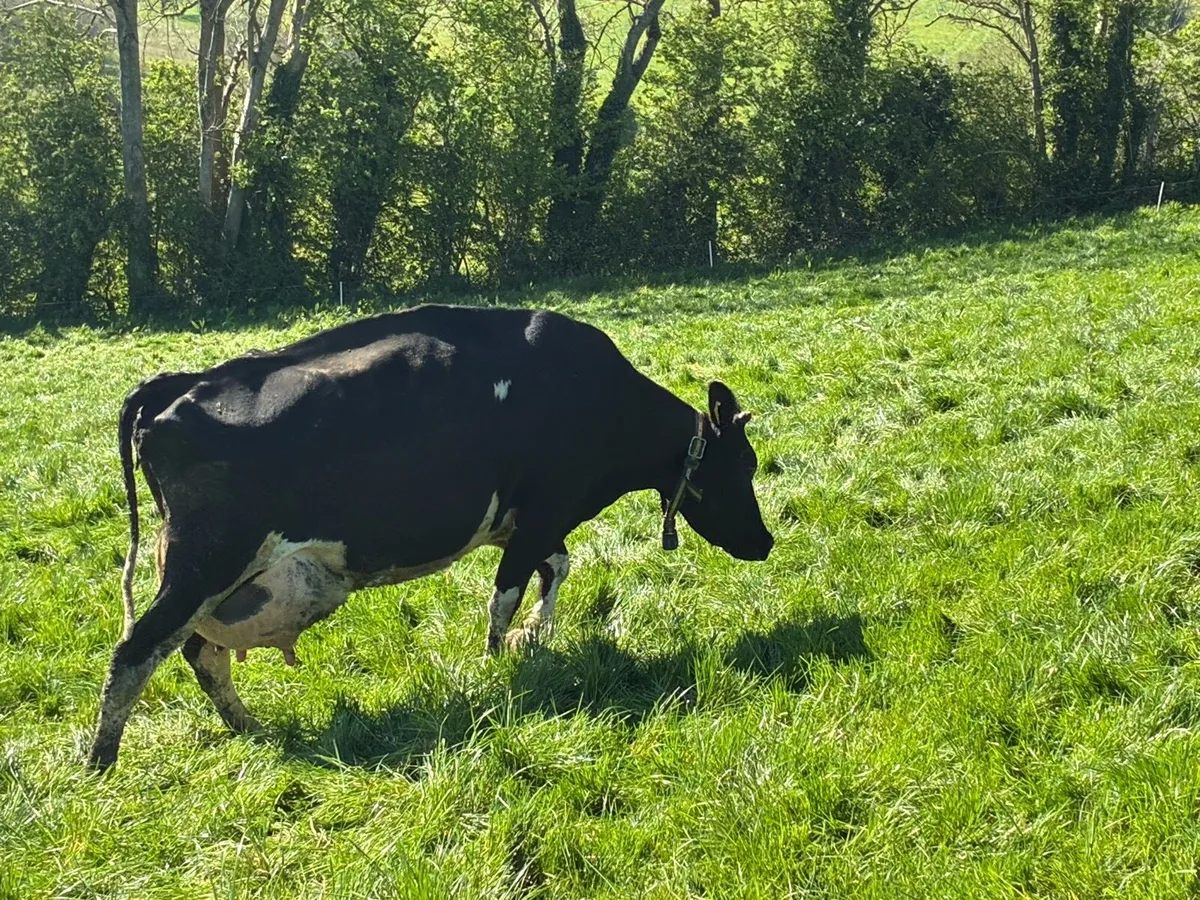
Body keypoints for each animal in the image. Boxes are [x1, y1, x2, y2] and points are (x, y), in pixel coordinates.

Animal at [87, 304, 774, 770]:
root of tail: (179, 382)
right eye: (745, 466)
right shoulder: (544, 511)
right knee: (137, 650)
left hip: (225, 576)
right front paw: (500, 662)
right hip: (205, 560)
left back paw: (250, 729)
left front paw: (534, 638)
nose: (765, 543)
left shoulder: (527, 525)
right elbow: (505, 596)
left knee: (200, 652)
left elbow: (556, 568)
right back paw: (101, 761)